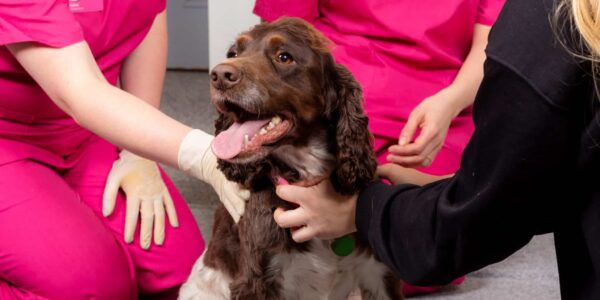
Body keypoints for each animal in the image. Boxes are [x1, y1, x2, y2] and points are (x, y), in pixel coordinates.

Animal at [178, 17, 404, 300]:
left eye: (284, 57)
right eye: (233, 53)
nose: (219, 75)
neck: (305, 173)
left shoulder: (376, 272)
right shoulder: (257, 279)